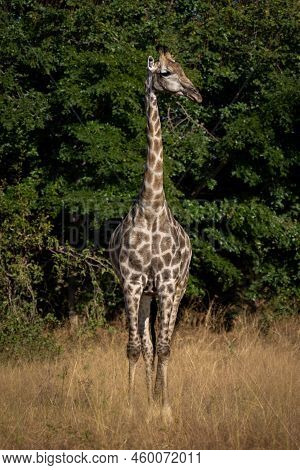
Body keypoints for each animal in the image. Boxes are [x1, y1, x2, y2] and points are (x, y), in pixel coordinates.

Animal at [108, 48, 202, 422]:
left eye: (182, 67)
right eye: (165, 73)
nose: (196, 93)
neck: (152, 205)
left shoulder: (165, 283)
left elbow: (163, 347)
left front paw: (164, 410)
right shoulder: (133, 283)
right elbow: (135, 347)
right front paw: (133, 406)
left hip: (179, 289)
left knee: (166, 343)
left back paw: (159, 400)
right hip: (148, 294)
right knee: (147, 345)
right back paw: (148, 399)